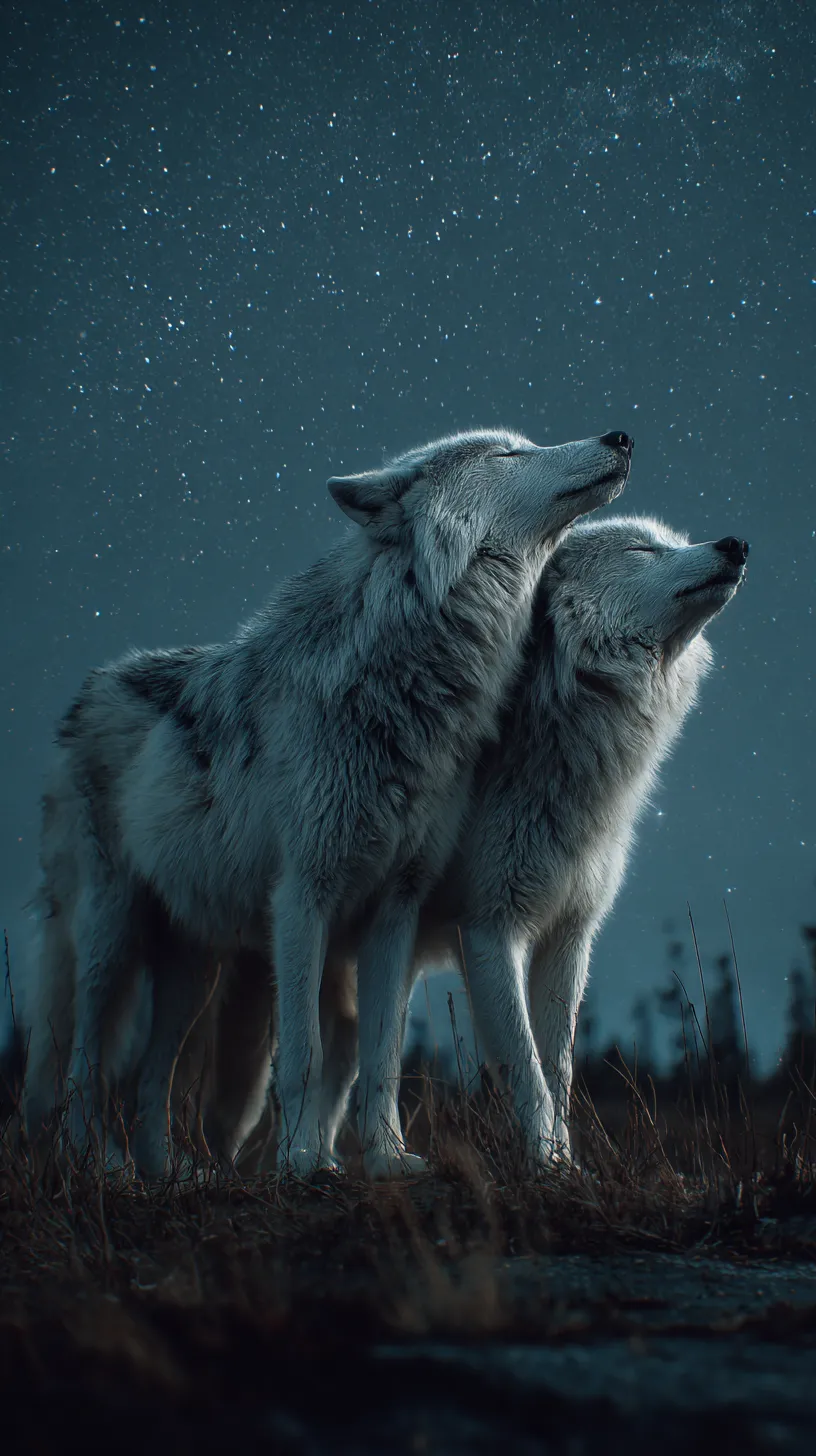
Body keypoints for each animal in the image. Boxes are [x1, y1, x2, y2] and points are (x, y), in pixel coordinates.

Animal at [20, 427, 632, 1178]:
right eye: (507, 454)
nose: (620, 436)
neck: (406, 688)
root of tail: (89, 688)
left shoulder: (396, 907)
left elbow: (382, 1053)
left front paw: (388, 1159)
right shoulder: (300, 897)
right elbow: (304, 1054)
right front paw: (304, 1161)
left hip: (192, 965)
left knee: (147, 1078)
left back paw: (167, 1173)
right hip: (111, 939)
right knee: (82, 1062)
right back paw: (96, 1165)